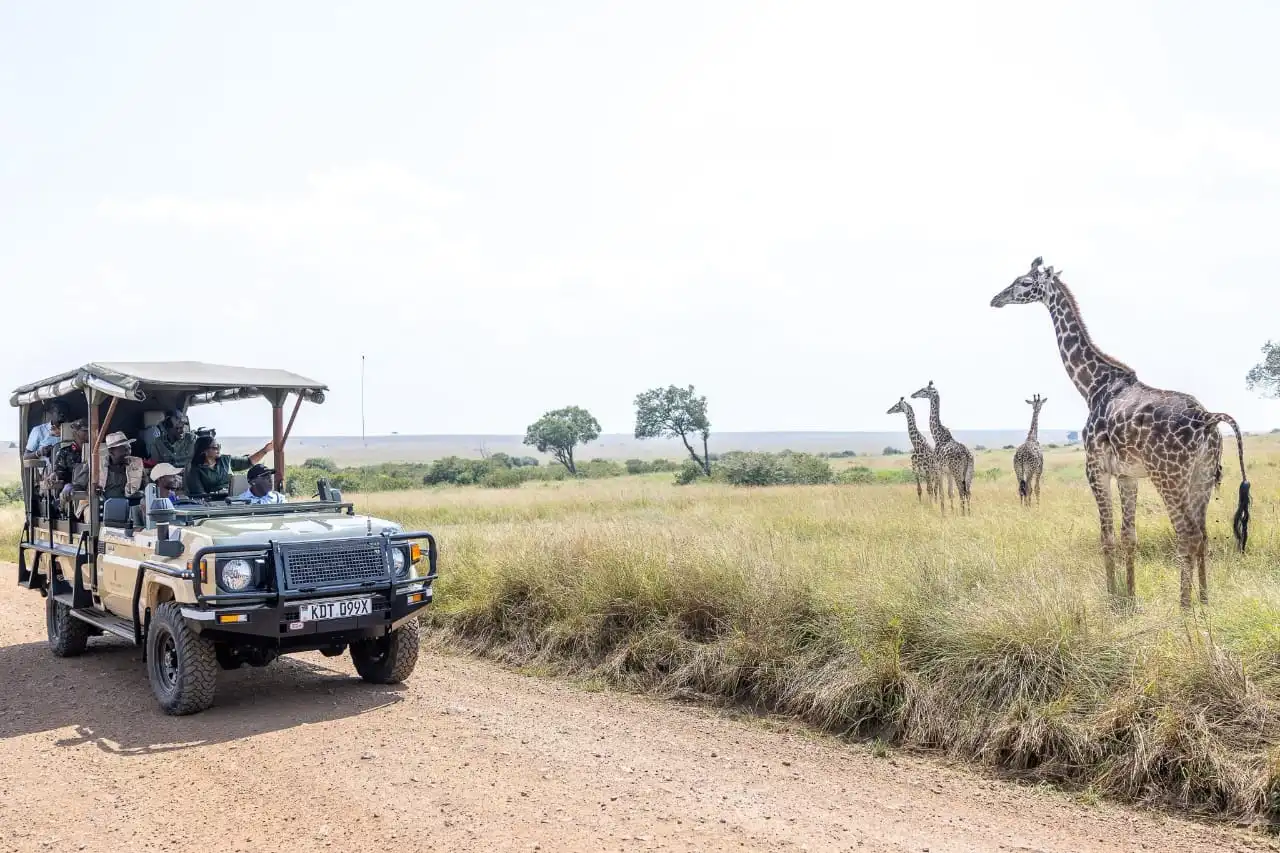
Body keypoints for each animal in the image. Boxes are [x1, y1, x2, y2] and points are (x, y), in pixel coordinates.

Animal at [909, 381, 974, 515]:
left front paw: (944, 514)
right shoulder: (947, 472)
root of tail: (967, 455)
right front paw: (951, 512)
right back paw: (969, 514)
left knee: (962, 491)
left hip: (957, 471)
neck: (938, 436)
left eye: (924, 390)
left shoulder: (938, 469)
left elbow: (941, 494)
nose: (913, 394)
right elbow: (949, 493)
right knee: (968, 492)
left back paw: (963, 515)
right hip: (968, 472)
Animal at [990, 257, 1250, 608]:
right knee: (1203, 533)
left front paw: (1113, 598)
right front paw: (1130, 596)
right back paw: (1205, 600)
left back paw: (1185, 606)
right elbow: (1129, 537)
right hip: (1203, 476)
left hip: (1169, 476)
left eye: (1024, 283)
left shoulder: (1096, 468)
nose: (996, 299)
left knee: (1187, 533)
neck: (1092, 385)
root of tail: (1208, 419)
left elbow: (1107, 536)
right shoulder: (1127, 475)